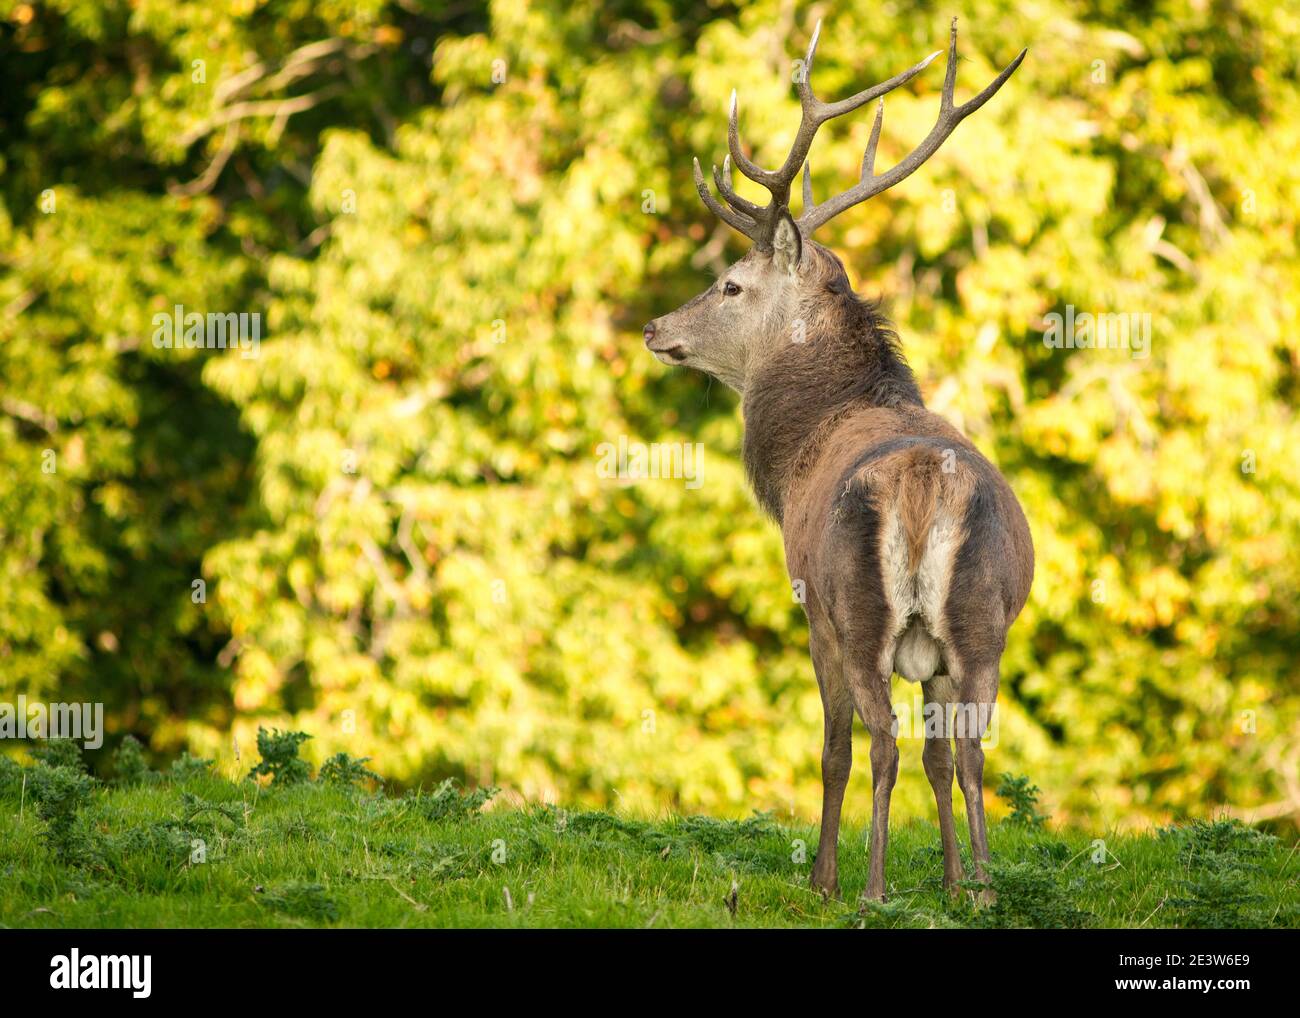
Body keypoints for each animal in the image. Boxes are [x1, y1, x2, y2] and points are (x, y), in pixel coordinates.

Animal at [642, 19, 1034, 904]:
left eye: (730, 285)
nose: (654, 327)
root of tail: (923, 485)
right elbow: (938, 759)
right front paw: (953, 881)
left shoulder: (809, 607)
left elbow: (834, 750)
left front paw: (822, 878)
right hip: (983, 621)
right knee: (971, 752)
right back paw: (986, 889)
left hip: (857, 611)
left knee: (876, 744)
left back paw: (869, 889)